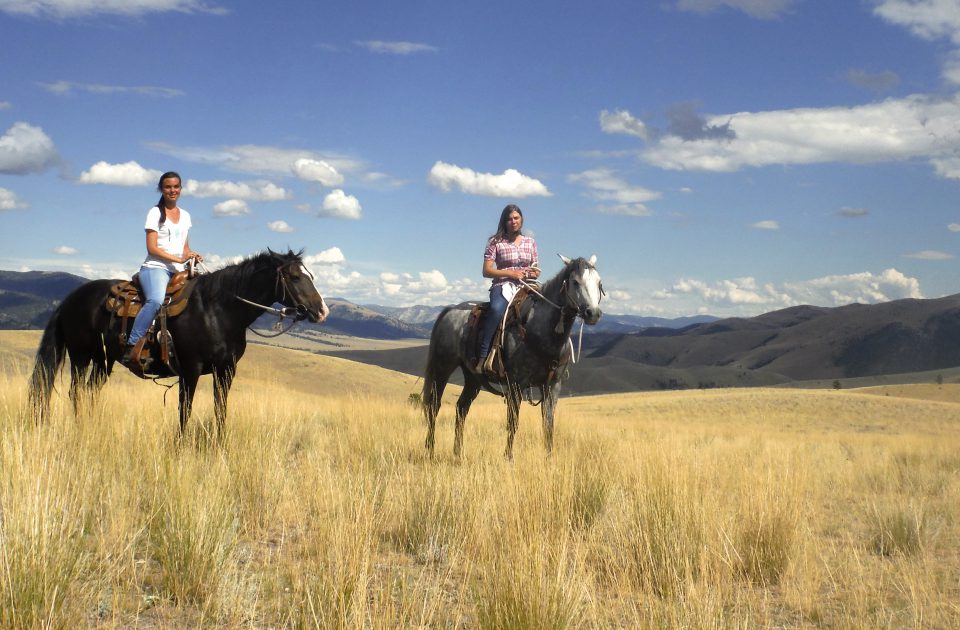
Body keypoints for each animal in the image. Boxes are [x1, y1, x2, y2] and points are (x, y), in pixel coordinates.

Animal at [420, 256, 600, 460]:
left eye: (599, 283)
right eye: (575, 282)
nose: (593, 313)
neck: (540, 332)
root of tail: (451, 310)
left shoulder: (553, 385)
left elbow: (548, 424)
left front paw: (549, 459)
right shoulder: (516, 384)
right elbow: (513, 422)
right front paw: (508, 458)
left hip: (473, 377)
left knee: (461, 408)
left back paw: (458, 454)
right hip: (443, 367)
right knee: (434, 406)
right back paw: (430, 451)